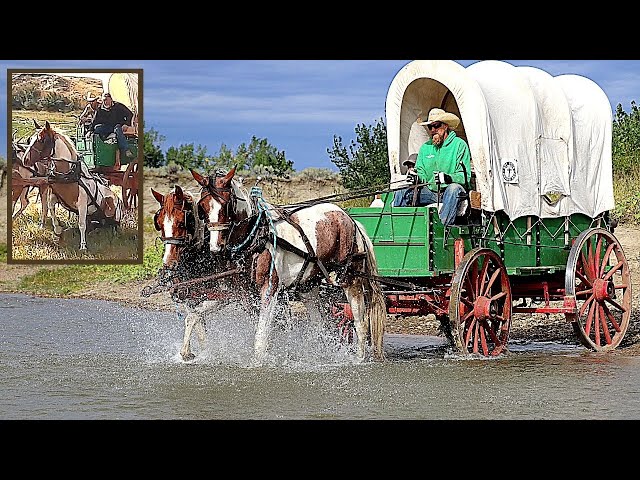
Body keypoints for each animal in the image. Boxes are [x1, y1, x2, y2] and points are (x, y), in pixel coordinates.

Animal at [21, 120, 124, 249]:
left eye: (42, 140)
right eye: (30, 139)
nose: (25, 160)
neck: (68, 174)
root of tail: (118, 199)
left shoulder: (82, 203)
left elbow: (81, 224)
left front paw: (83, 246)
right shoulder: (55, 197)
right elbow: (51, 209)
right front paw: (58, 229)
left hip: (111, 207)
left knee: (113, 223)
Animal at [190, 168, 388, 364]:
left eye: (225, 205)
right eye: (202, 207)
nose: (216, 247)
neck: (256, 236)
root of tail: (351, 220)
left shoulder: (270, 288)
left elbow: (261, 335)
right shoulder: (243, 292)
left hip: (351, 279)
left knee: (360, 323)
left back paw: (359, 358)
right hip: (309, 285)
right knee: (318, 324)